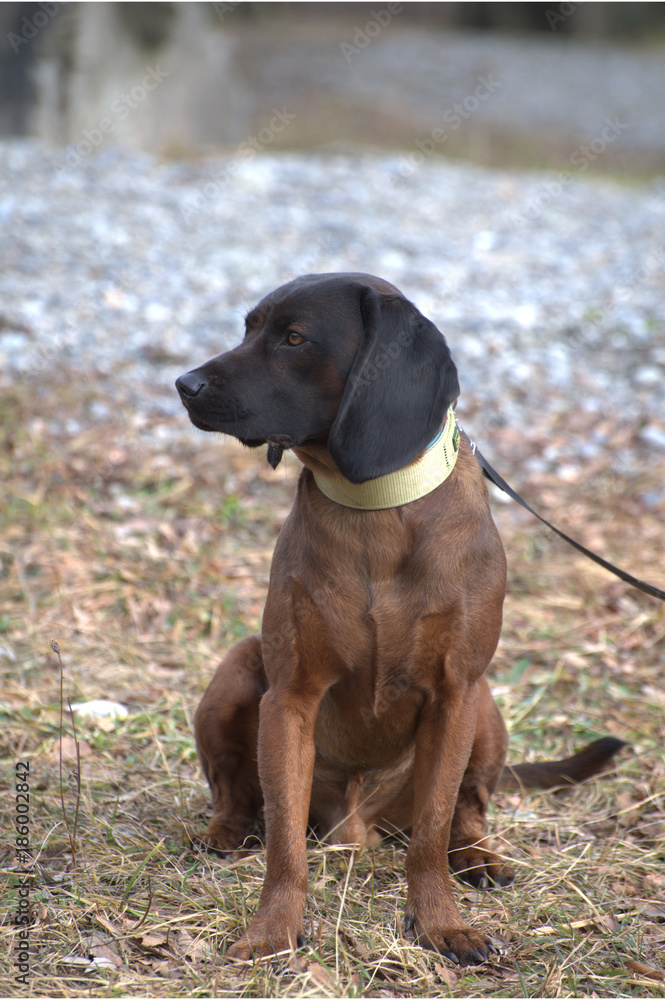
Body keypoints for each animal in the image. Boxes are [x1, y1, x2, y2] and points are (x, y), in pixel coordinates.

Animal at [176, 272, 624, 960]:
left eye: (294, 338)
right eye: (247, 327)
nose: (184, 384)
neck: (374, 507)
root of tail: (359, 827)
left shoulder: (454, 695)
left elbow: (432, 833)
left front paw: (440, 924)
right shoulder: (289, 699)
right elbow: (284, 843)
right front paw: (272, 930)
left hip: (484, 707)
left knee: (467, 810)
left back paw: (478, 857)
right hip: (236, 669)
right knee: (237, 792)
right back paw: (225, 832)